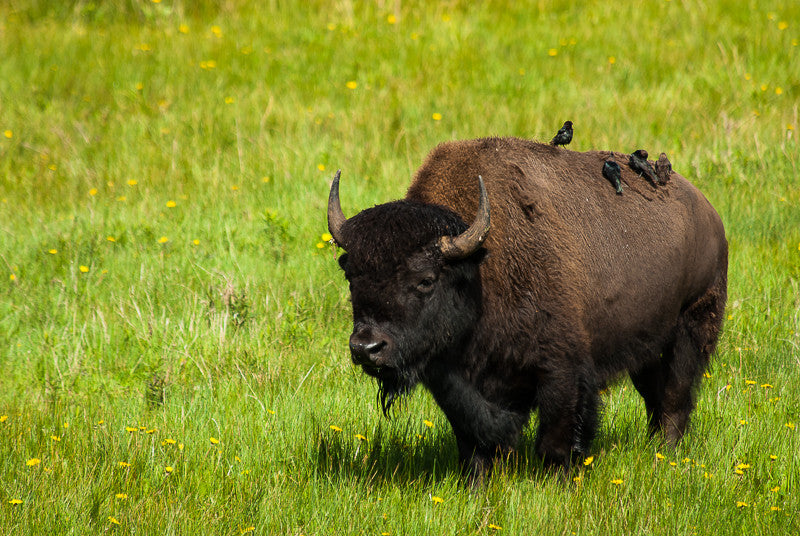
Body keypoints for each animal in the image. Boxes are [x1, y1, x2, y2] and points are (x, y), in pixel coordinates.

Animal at [327, 137, 727, 480]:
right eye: (350, 274)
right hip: (644, 347)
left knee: (676, 397)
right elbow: (475, 445)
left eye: (425, 279)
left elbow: (556, 441)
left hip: (691, 327)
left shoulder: (563, 372)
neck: (478, 269)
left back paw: (667, 454)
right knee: (655, 395)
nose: (366, 347)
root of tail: (707, 211)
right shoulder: (458, 384)